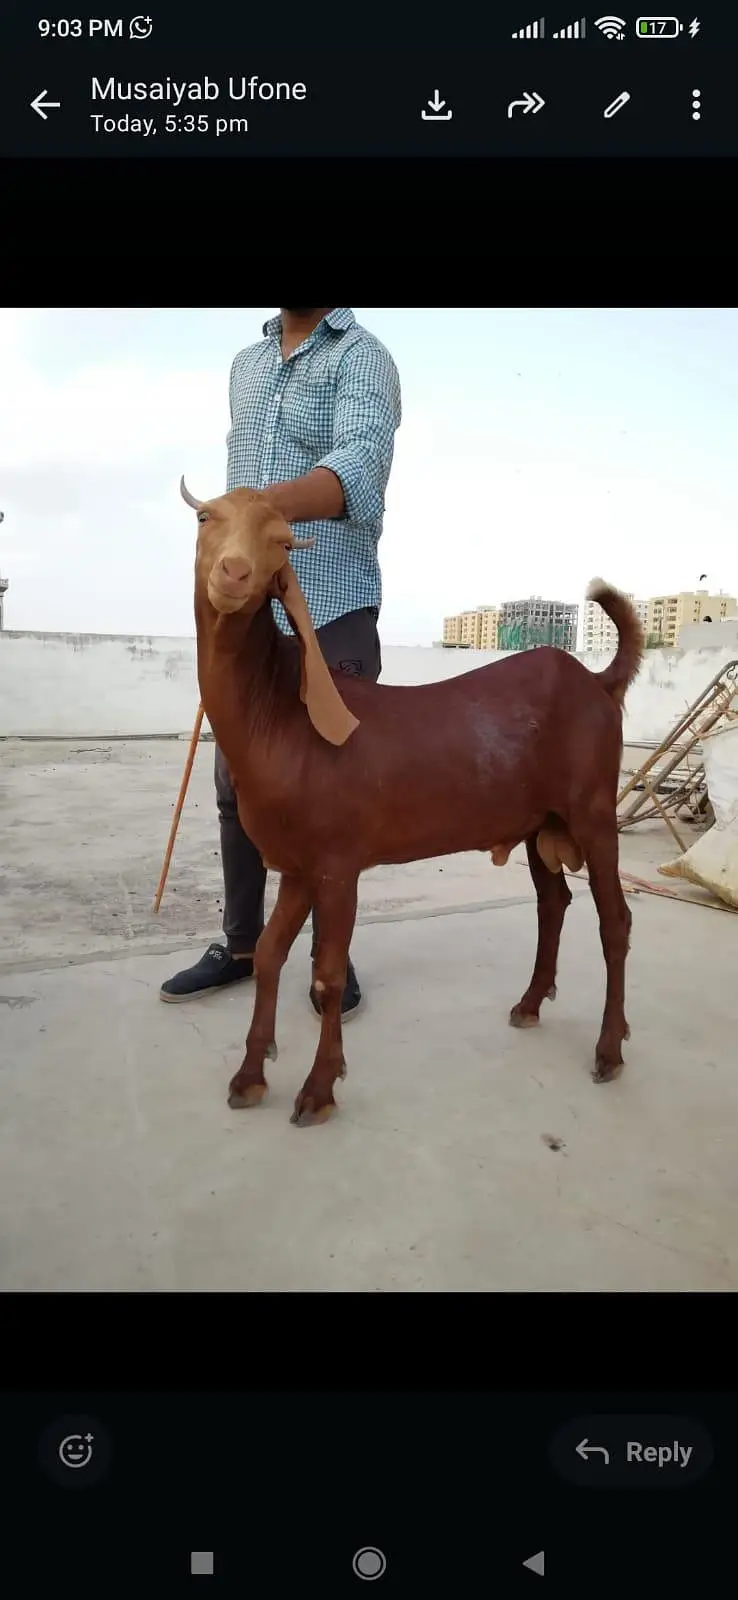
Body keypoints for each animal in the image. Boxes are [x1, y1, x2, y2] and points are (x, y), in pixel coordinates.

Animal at [183, 478, 644, 1126]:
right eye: (206, 519)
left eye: (281, 542)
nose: (233, 572)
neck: (283, 716)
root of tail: (598, 683)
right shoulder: (300, 865)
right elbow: (270, 954)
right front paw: (250, 1076)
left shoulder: (338, 863)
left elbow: (327, 974)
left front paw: (318, 1090)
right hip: (540, 821)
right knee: (553, 903)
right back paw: (530, 1003)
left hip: (594, 810)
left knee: (615, 921)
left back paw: (609, 1050)